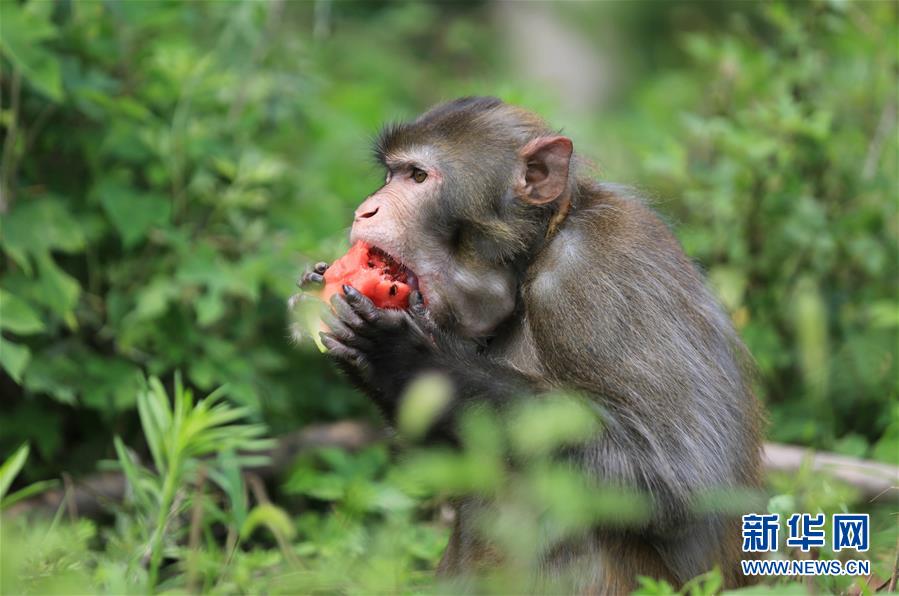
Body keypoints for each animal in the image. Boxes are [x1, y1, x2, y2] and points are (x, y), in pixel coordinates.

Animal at [298, 96, 764, 592]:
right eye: (390, 174)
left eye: (418, 176)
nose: (366, 210)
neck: (535, 255)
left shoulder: (601, 274)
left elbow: (681, 474)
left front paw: (405, 357)